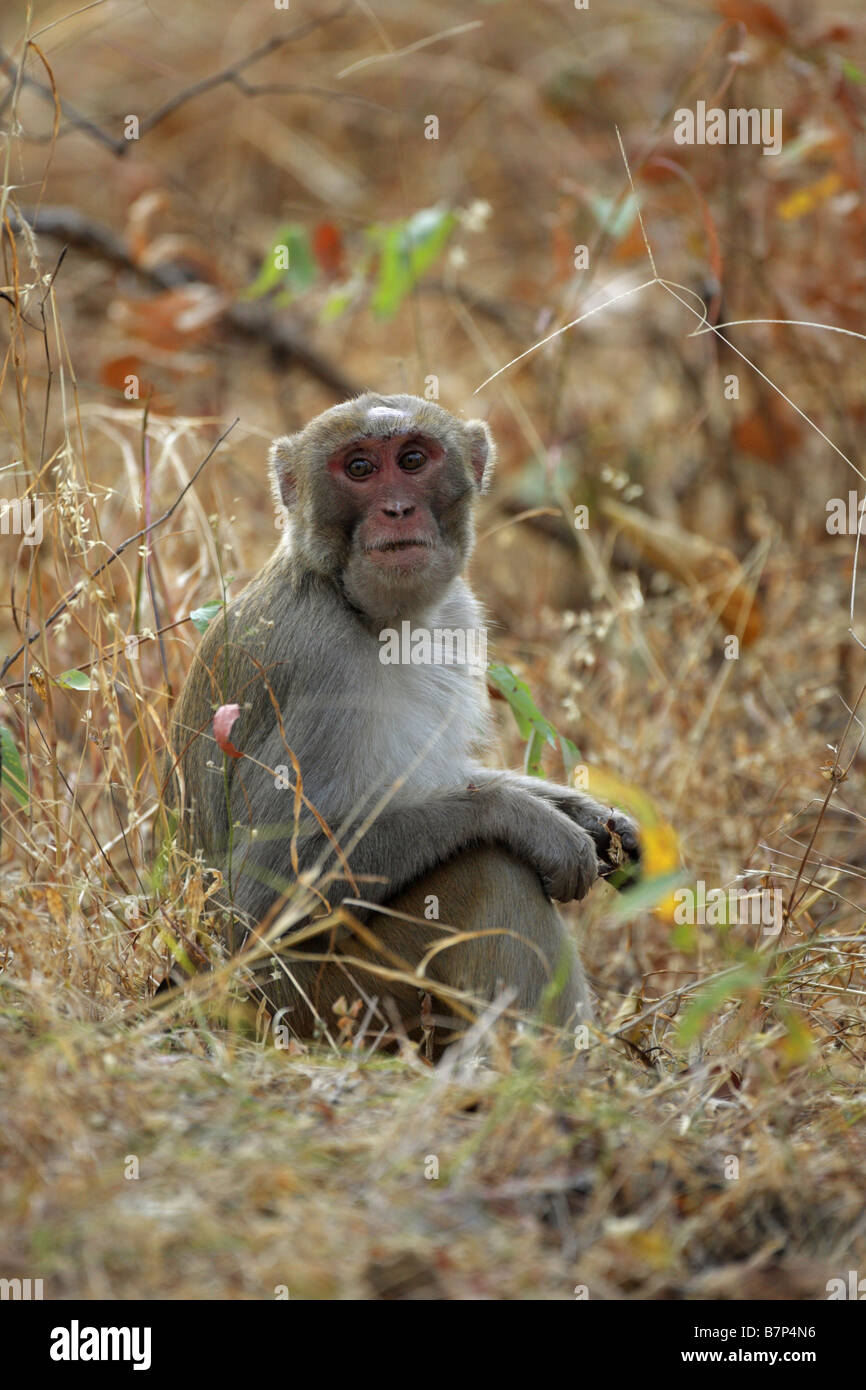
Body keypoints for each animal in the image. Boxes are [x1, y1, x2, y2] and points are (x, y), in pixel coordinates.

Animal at [169, 397, 639, 1045]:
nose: (397, 509)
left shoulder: (458, 613)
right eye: (360, 468)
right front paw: (524, 817)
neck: (364, 611)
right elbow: (262, 894)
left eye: (413, 460)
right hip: (318, 1006)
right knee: (489, 868)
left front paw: (592, 815)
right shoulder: (321, 669)